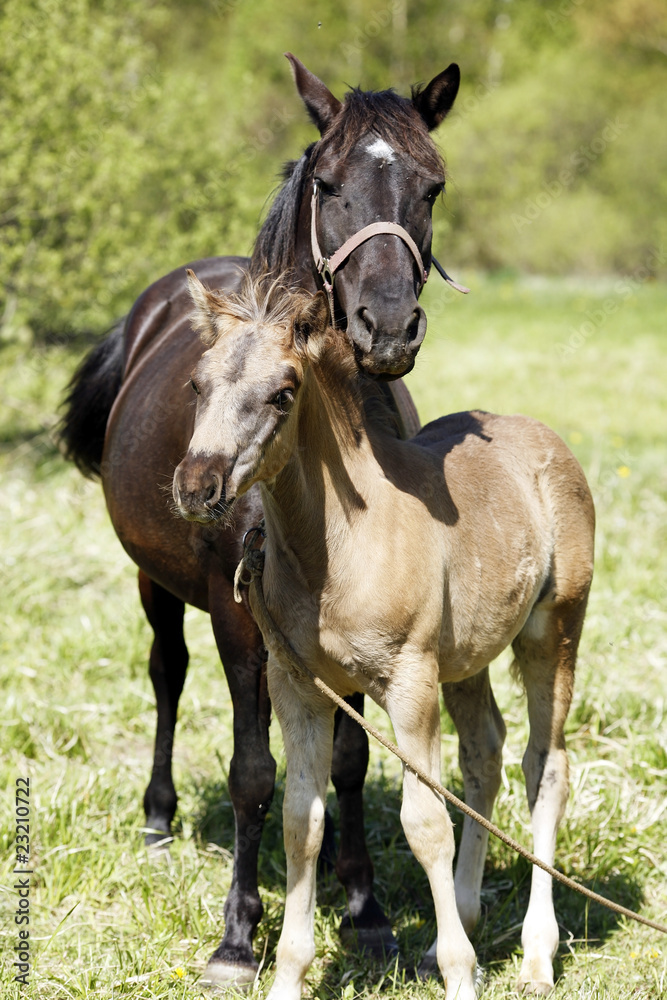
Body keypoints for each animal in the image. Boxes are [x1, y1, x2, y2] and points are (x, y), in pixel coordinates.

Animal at [59, 55, 464, 986]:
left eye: (432, 185)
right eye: (328, 183)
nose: (387, 327)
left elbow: (347, 761)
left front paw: (367, 914)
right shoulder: (242, 617)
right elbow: (252, 772)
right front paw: (238, 936)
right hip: (156, 582)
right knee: (166, 673)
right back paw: (158, 819)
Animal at [172, 271, 595, 998]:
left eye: (283, 393)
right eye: (198, 384)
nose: (198, 487)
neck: (338, 549)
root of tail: (542, 436)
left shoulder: (408, 683)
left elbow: (424, 823)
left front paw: (460, 976)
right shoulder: (298, 689)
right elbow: (302, 822)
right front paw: (289, 976)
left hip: (553, 631)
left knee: (546, 765)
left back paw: (537, 955)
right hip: (467, 660)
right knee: (484, 755)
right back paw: (464, 920)